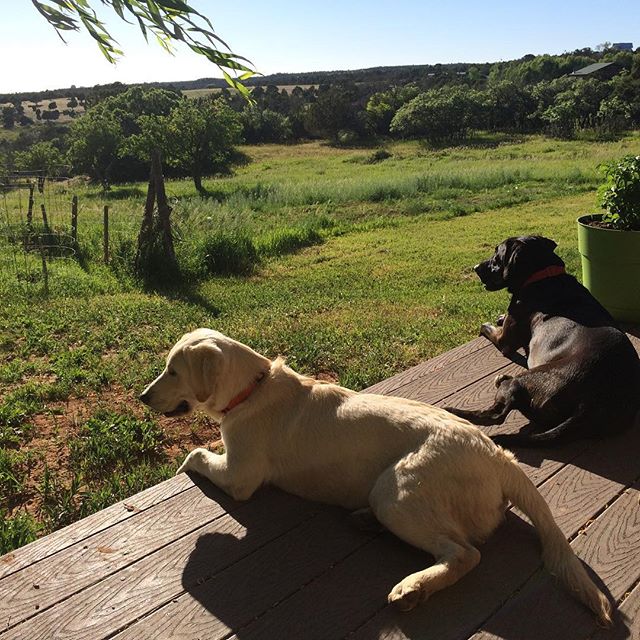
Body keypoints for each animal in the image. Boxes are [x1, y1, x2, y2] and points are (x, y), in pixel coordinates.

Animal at [444, 232, 640, 448]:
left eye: (497, 255)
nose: (475, 267)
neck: (543, 275)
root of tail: (592, 403)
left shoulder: (505, 340)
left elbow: (488, 329)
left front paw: (488, 324)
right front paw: (500, 318)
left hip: (527, 380)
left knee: (497, 415)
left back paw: (454, 412)